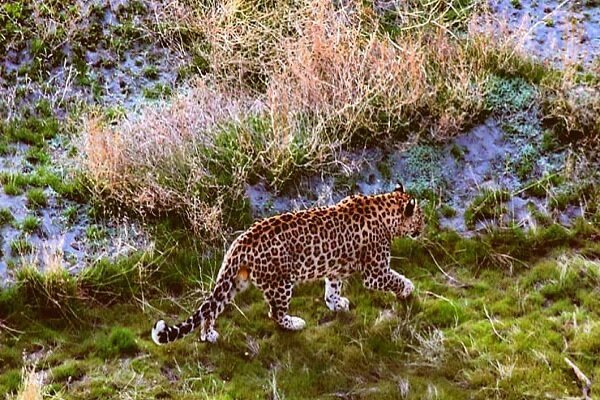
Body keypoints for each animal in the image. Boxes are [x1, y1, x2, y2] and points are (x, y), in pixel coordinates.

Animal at [152, 184, 424, 344]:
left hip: (234, 282)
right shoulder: (375, 272)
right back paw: (294, 324)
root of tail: (241, 242)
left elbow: (332, 291)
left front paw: (337, 305)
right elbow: (396, 279)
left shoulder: (335, 270)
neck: (384, 208)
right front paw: (408, 291)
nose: (423, 227)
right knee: (274, 313)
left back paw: (208, 335)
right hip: (280, 282)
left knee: (211, 309)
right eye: (420, 216)